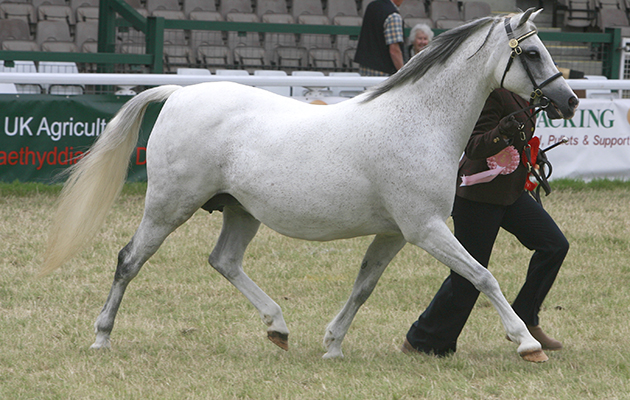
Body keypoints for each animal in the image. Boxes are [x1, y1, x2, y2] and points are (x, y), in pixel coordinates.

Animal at [44, 9, 576, 364]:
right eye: (531, 51)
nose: (568, 100)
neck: (419, 121)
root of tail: (179, 93)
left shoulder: (396, 233)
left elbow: (364, 285)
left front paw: (333, 345)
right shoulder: (425, 228)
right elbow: (482, 276)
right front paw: (527, 343)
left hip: (240, 210)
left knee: (223, 261)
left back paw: (278, 328)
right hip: (168, 206)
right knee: (129, 259)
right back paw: (102, 336)